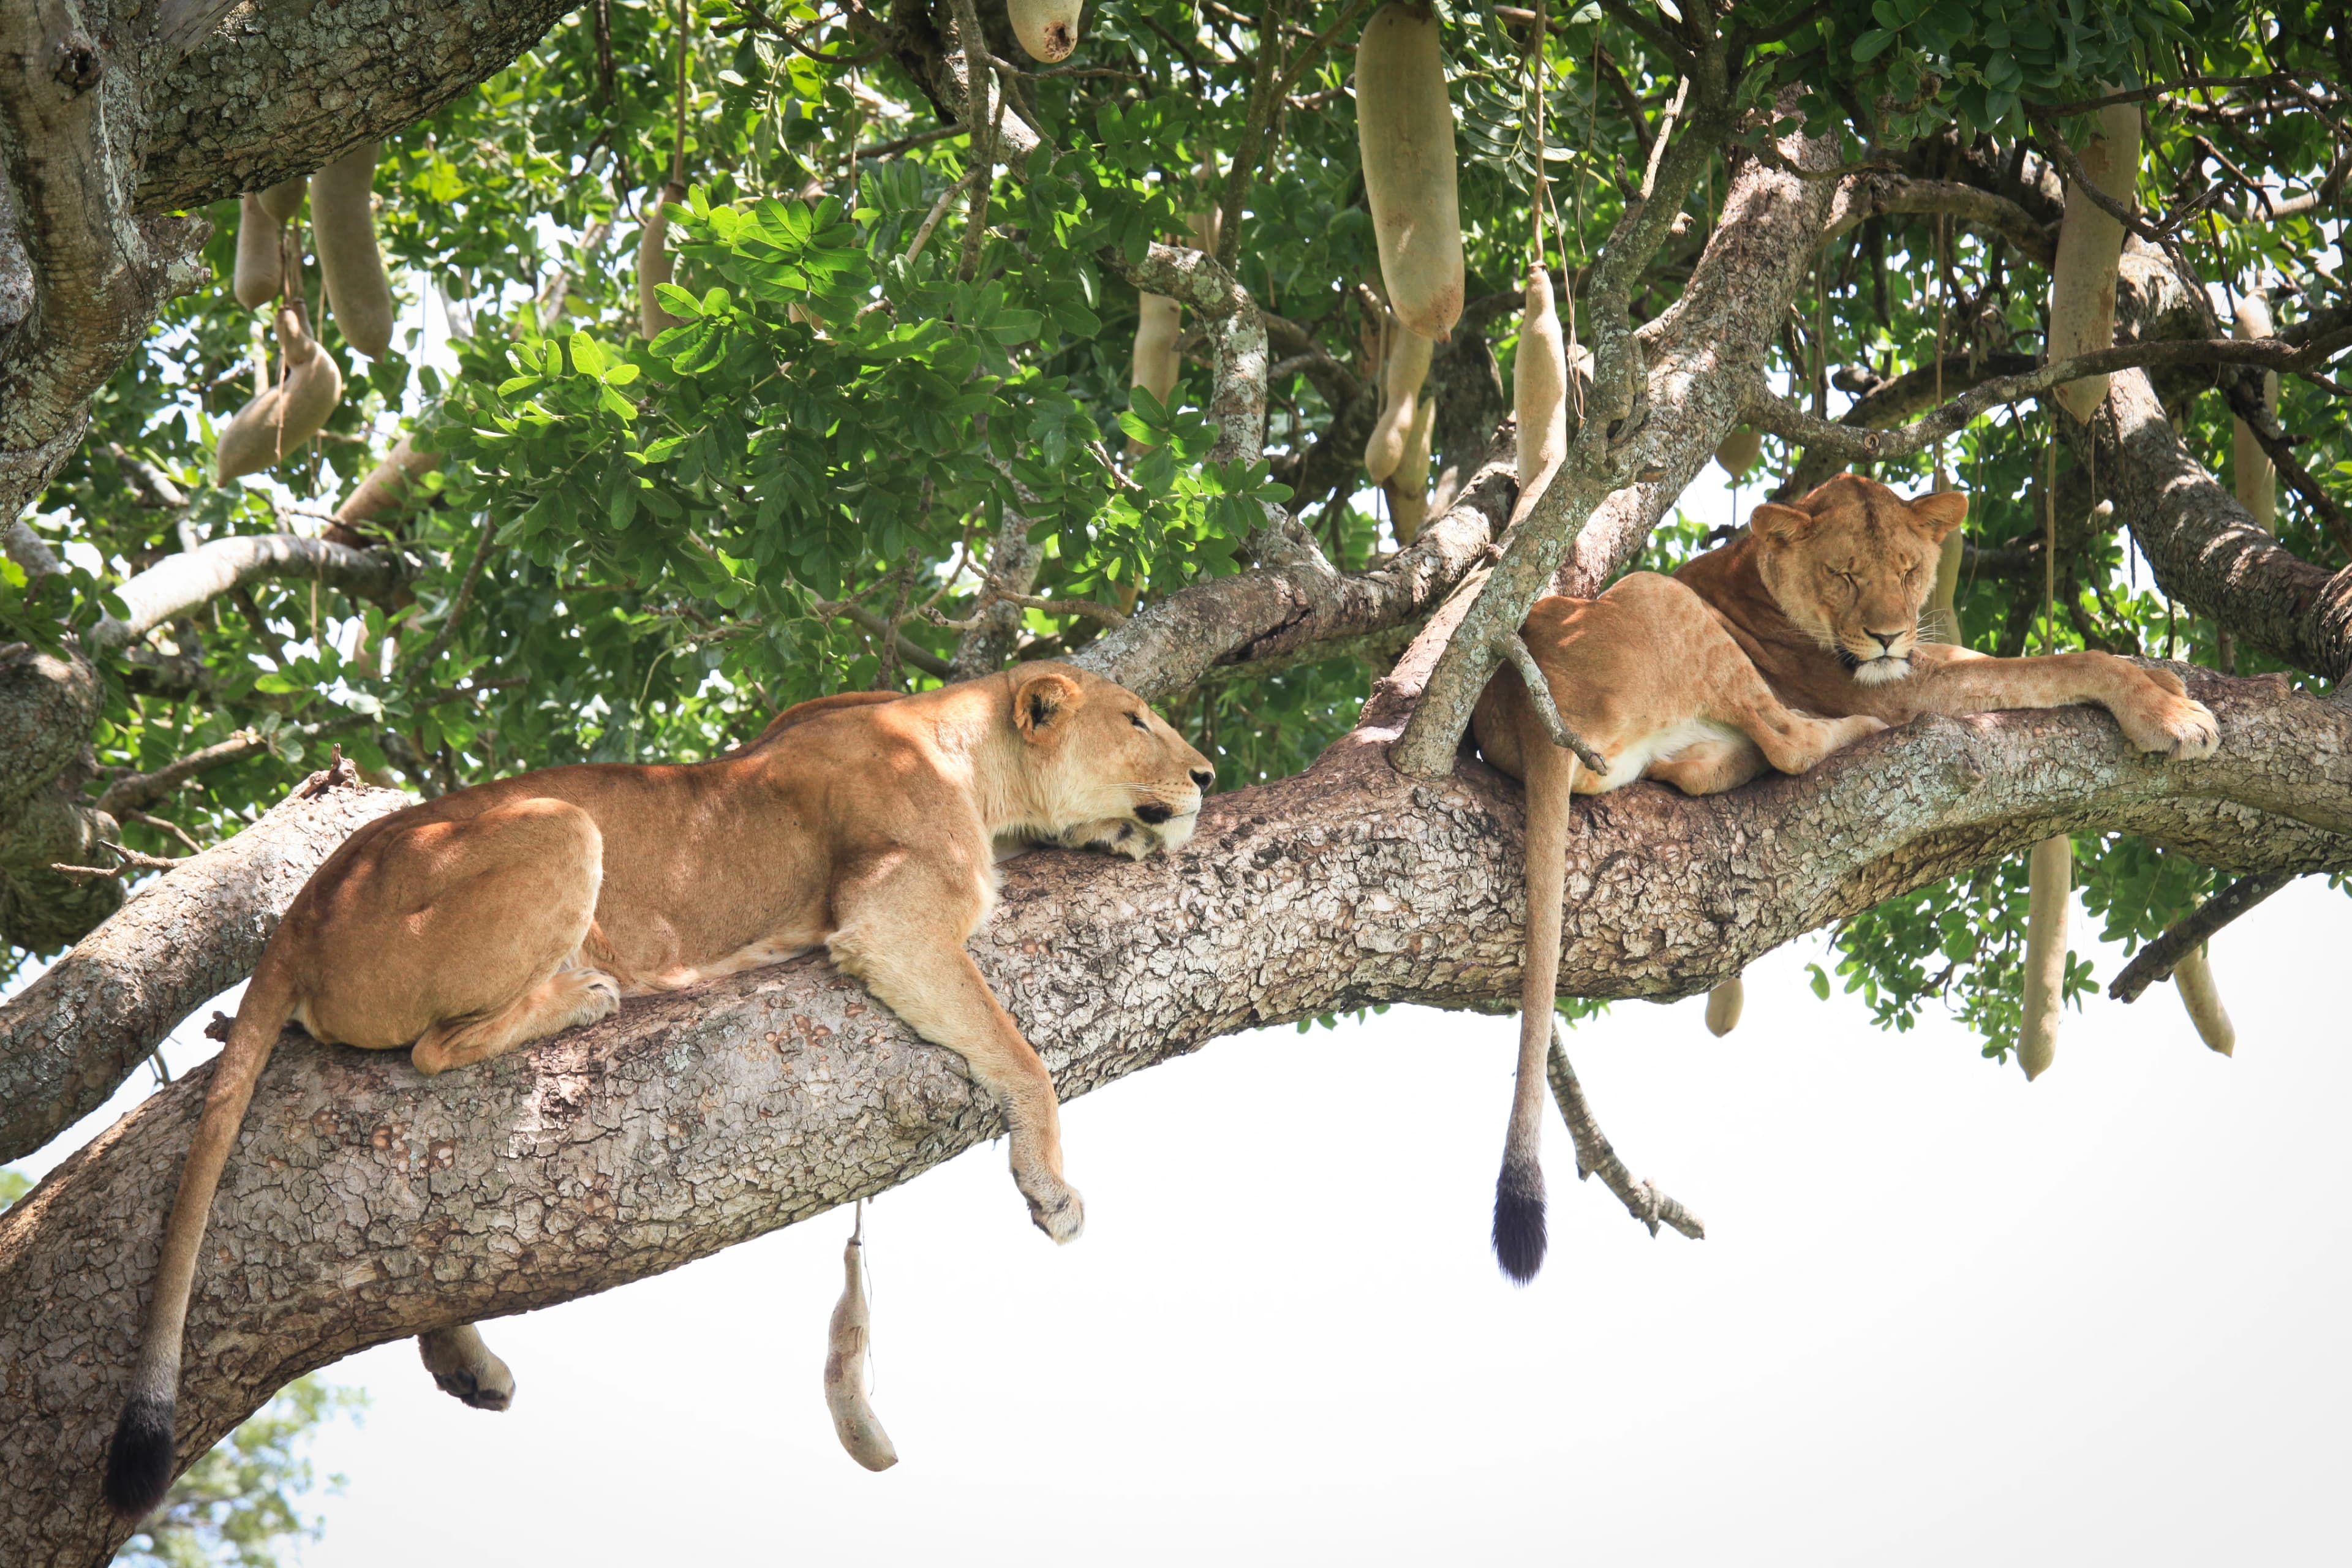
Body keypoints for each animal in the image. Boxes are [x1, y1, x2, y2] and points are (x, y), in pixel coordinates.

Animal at [106, 662, 1214, 1517]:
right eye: (1137, 719)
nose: (1208, 776)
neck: (970, 758)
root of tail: (300, 910)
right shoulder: (890, 920)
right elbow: (1020, 1051)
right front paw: (1051, 1188)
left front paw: (1125, 836)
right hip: (556, 826)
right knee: (431, 1052)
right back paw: (582, 997)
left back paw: (468, 1363)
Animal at [1473, 473, 2218, 1283]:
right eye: (1843, 574)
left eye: (1907, 568)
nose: (1889, 635)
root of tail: (1520, 711)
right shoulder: (1888, 685)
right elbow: (2054, 665)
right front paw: (2168, 713)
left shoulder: (1918, 654)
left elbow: (2031, 654)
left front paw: (2163, 676)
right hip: (1658, 594)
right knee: (1789, 741)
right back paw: (1849, 736)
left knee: (1707, 765)